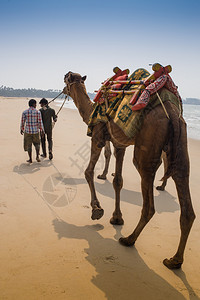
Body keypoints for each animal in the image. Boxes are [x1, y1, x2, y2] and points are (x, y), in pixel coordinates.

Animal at [63, 71, 195, 270]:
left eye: (66, 80)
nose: (63, 89)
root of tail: (172, 112)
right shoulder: (119, 144)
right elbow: (118, 180)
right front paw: (117, 218)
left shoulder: (98, 136)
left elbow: (88, 172)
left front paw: (97, 209)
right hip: (181, 144)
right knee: (185, 196)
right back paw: (174, 260)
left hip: (146, 150)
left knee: (149, 205)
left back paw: (129, 239)